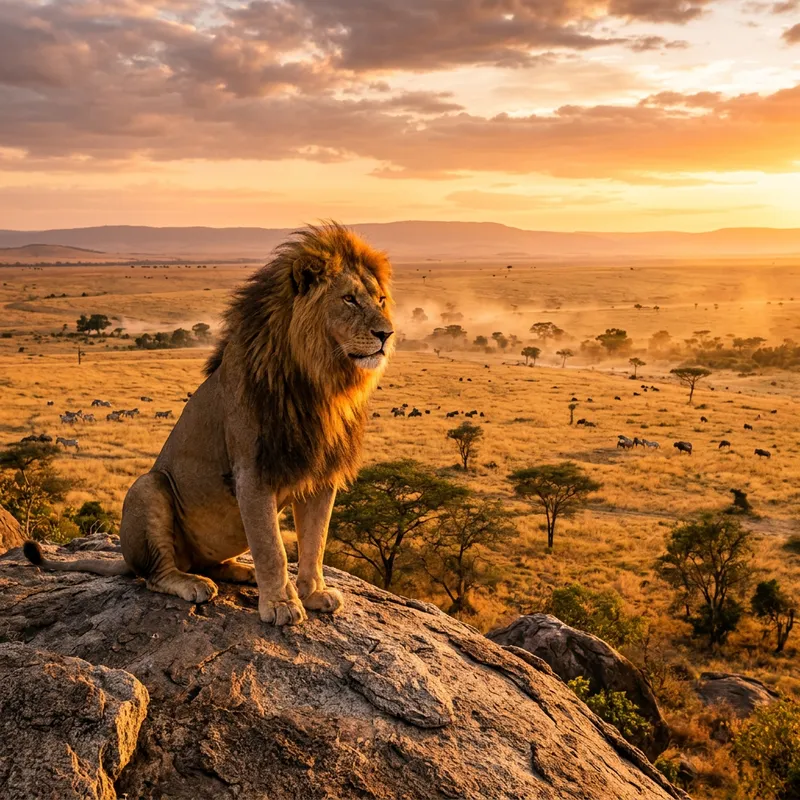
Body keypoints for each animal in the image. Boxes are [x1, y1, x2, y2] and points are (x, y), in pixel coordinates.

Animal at [24, 222, 394, 626]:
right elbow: (273, 548)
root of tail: (125, 558)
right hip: (147, 487)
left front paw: (312, 593)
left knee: (208, 563)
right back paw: (194, 583)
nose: (387, 334)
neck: (321, 383)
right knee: (156, 574)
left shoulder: (323, 474)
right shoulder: (252, 473)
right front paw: (281, 604)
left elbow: (315, 542)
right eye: (349, 299)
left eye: (381, 300)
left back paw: (241, 571)